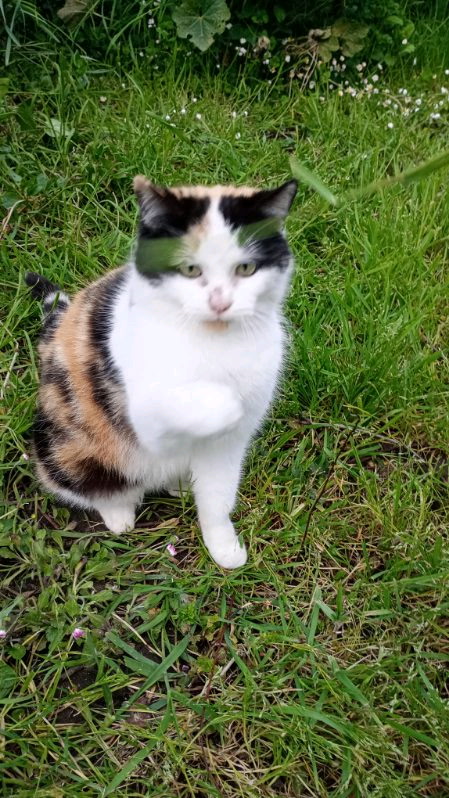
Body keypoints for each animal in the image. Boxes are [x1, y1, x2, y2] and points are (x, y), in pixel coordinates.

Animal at [25, 175, 297, 569]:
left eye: (246, 269)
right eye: (190, 269)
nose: (220, 303)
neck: (216, 343)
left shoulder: (228, 446)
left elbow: (217, 499)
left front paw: (223, 548)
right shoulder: (143, 413)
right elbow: (189, 404)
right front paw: (226, 402)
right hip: (69, 452)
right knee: (97, 487)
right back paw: (119, 514)